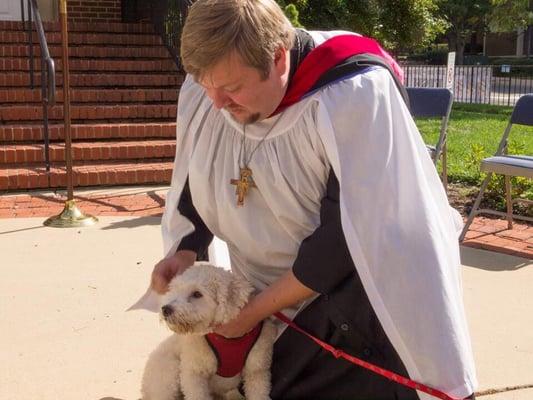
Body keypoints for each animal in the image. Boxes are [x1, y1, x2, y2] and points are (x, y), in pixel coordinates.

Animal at [139, 262, 276, 400]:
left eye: (197, 294)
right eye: (175, 290)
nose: (165, 309)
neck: (228, 339)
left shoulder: (257, 371)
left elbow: (259, 393)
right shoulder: (193, 373)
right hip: (168, 373)